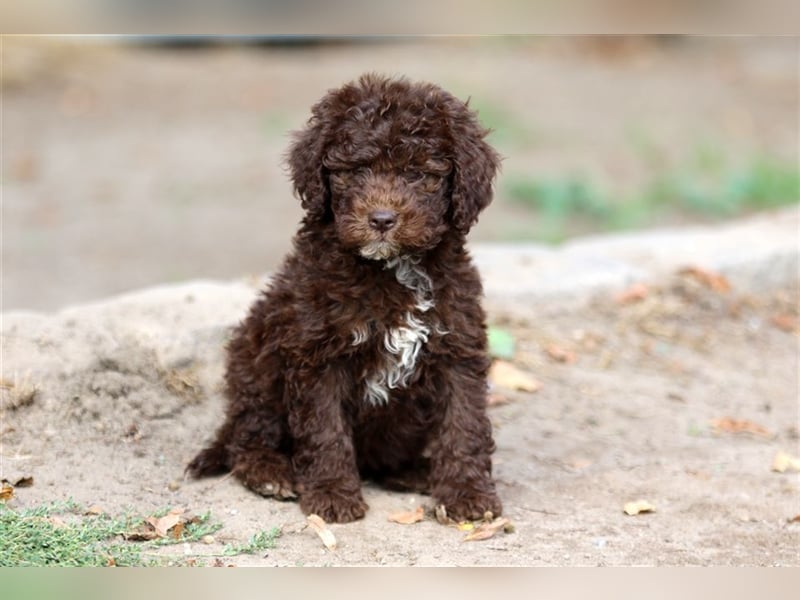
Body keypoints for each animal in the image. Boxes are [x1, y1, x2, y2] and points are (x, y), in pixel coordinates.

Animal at [187, 74, 500, 520]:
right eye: (356, 171)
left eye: (419, 173)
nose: (382, 219)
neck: (391, 269)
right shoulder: (317, 353)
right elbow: (324, 428)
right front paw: (332, 494)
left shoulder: (457, 345)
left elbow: (464, 423)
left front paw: (467, 494)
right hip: (255, 360)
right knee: (246, 435)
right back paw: (269, 471)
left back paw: (415, 472)